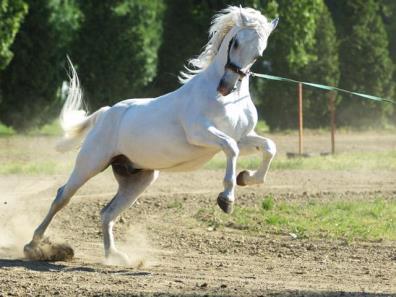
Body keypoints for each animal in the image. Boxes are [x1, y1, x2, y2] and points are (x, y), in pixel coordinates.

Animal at [24, 6, 278, 262]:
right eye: (235, 43)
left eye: (258, 55)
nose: (225, 87)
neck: (228, 101)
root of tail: (106, 113)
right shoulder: (201, 134)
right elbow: (231, 149)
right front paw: (226, 200)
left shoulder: (242, 137)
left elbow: (268, 147)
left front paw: (246, 178)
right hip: (90, 164)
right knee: (62, 197)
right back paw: (34, 246)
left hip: (138, 179)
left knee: (107, 212)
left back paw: (115, 256)